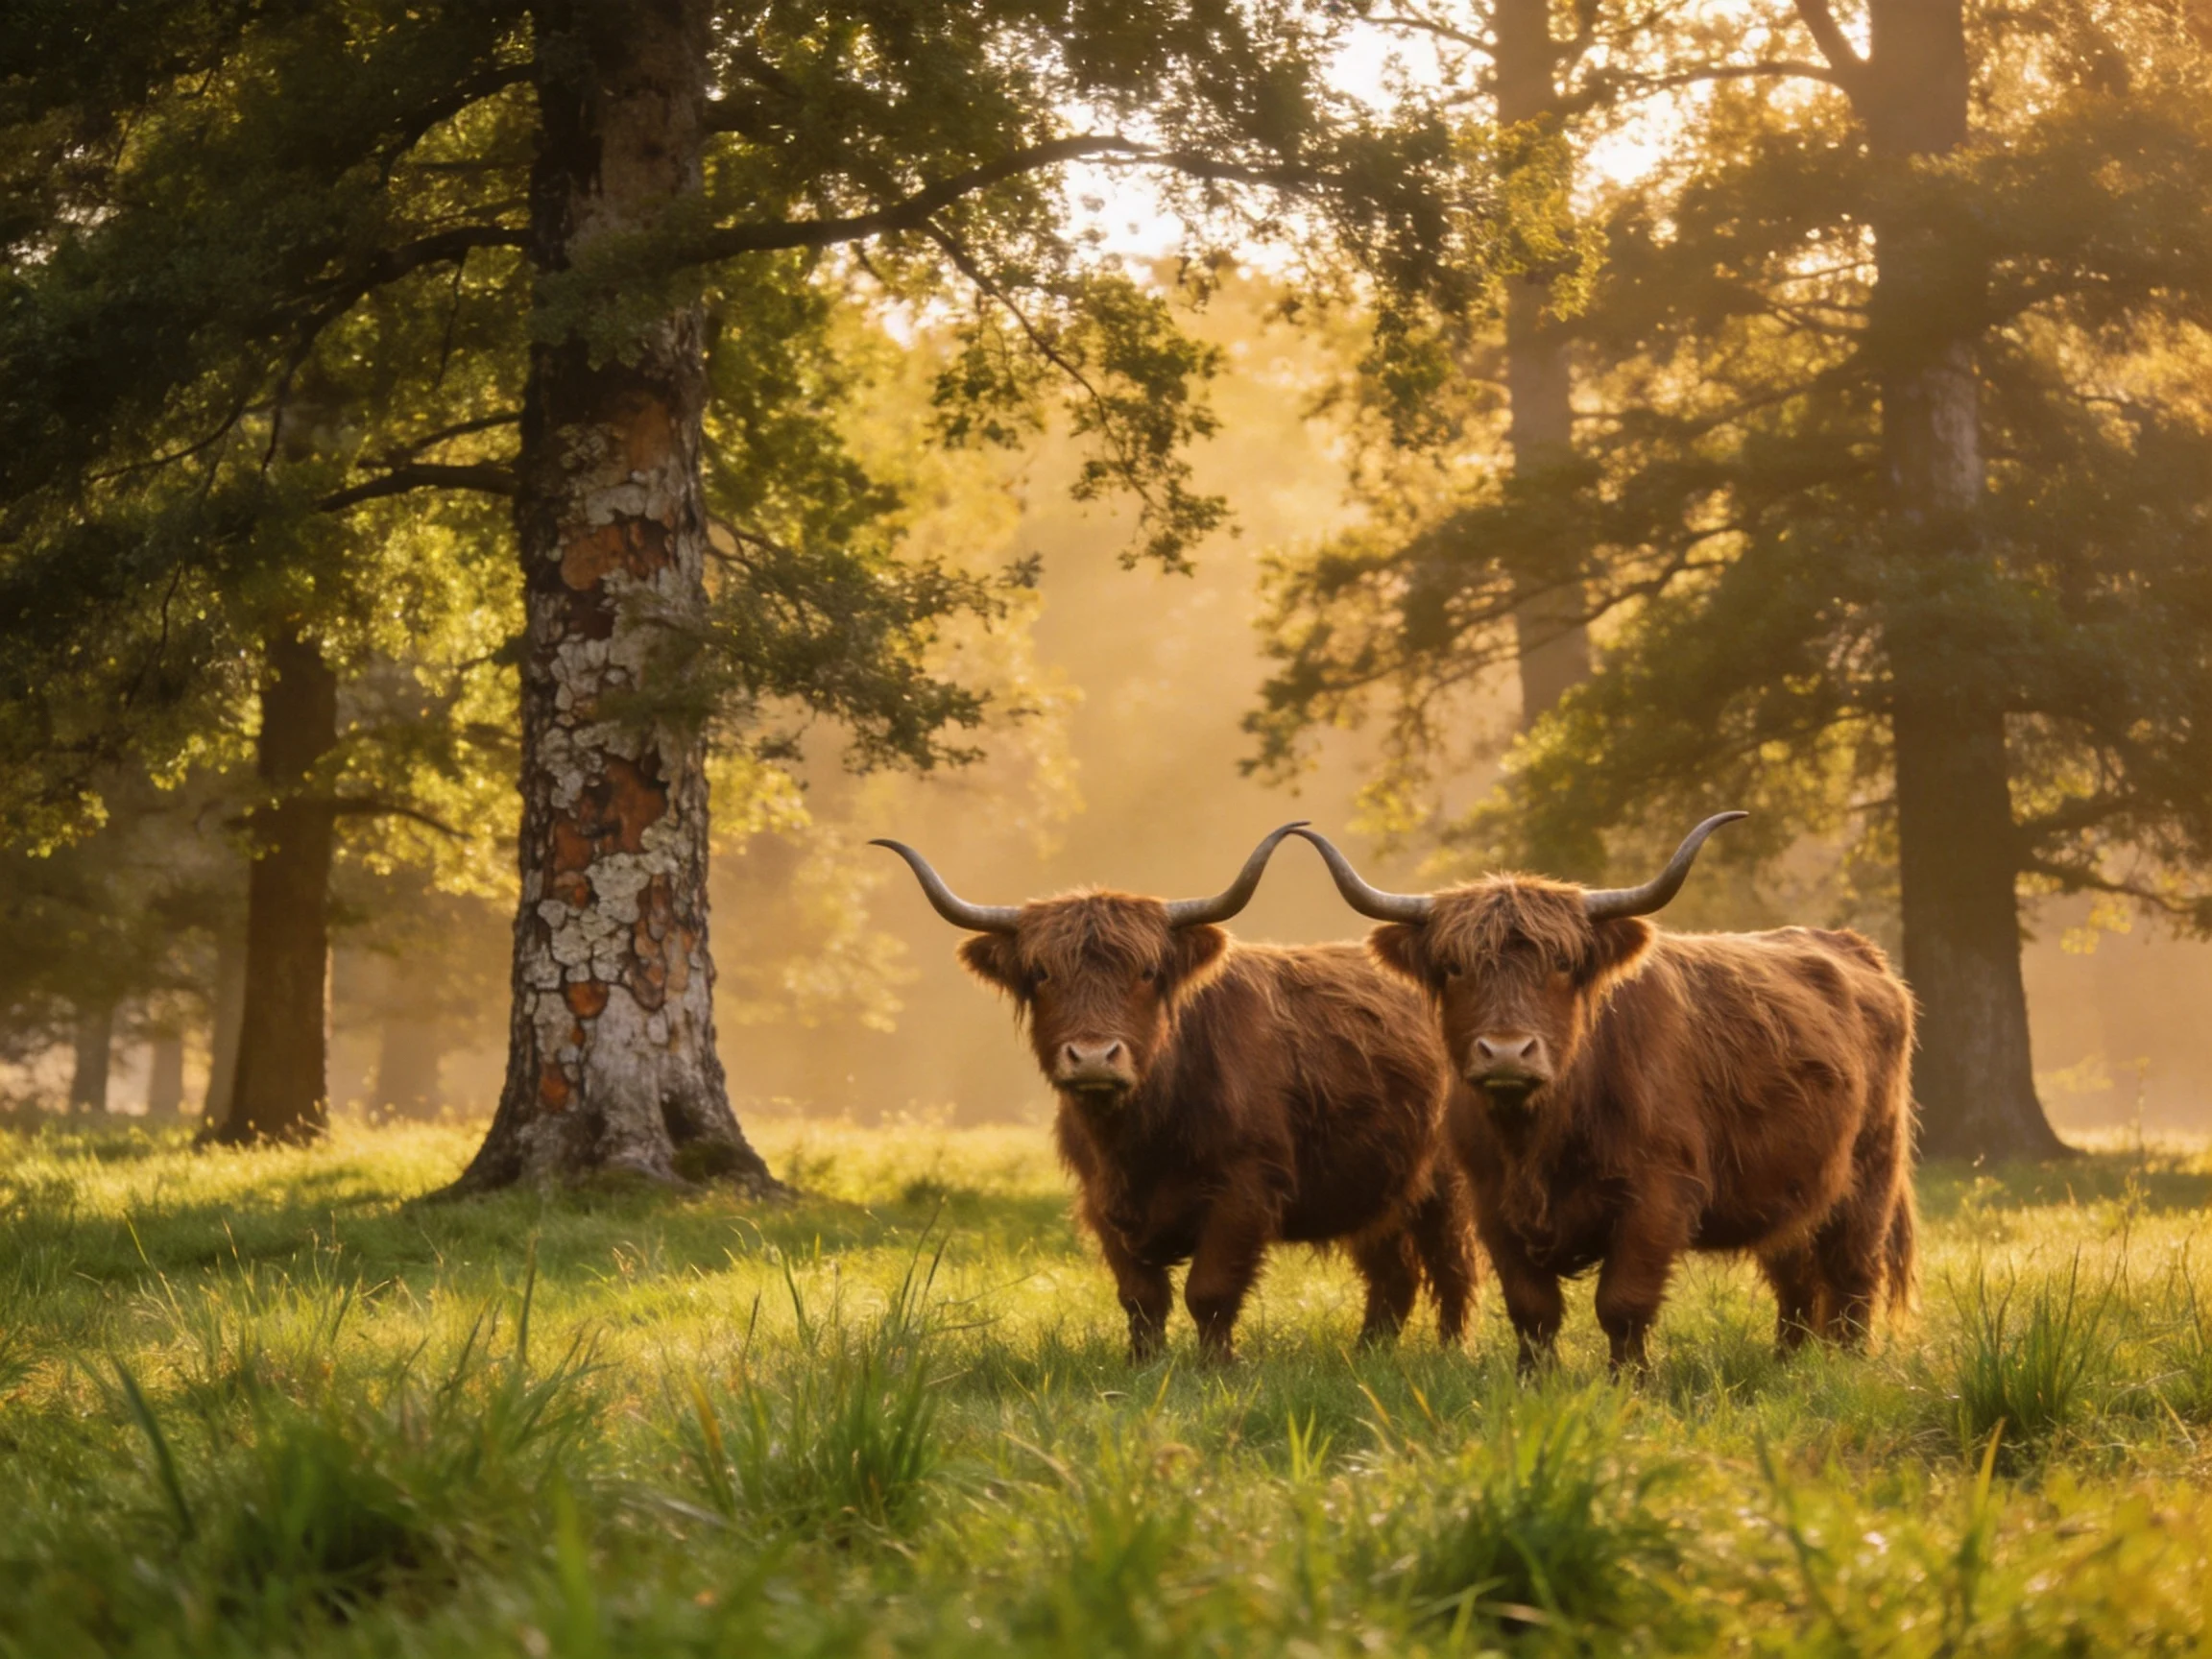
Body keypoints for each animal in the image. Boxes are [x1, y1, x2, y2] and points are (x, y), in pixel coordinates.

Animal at [872, 824, 1478, 1362]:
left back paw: (1448, 1353)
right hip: (1378, 1189)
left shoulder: (1244, 1191)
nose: (1094, 1056)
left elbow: (1209, 1291)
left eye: (1146, 971)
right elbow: (1142, 1297)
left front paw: (1216, 1367)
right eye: (1042, 973)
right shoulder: (1101, 1200)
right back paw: (1367, 1354)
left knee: (1451, 1267)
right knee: (1393, 1273)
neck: (1139, 1137)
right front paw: (1143, 1365)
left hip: (1445, 1184)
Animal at [1291, 814, 1918, 1374]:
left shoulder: (1657, 1197)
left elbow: (1623, 1304)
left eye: (1563, 963)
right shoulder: (1493, 1204)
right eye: (1453, 966)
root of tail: (1856, 951)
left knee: (1853, 1273)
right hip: (1788, 1185)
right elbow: (1532, 1309)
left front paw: (1629, 1384)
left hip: (1870, 1172)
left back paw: (1846, 1365)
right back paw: (1788, 1361)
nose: (1507, 1052)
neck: (1541, 1136)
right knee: (1795, 1275)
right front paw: (1535, 1381)